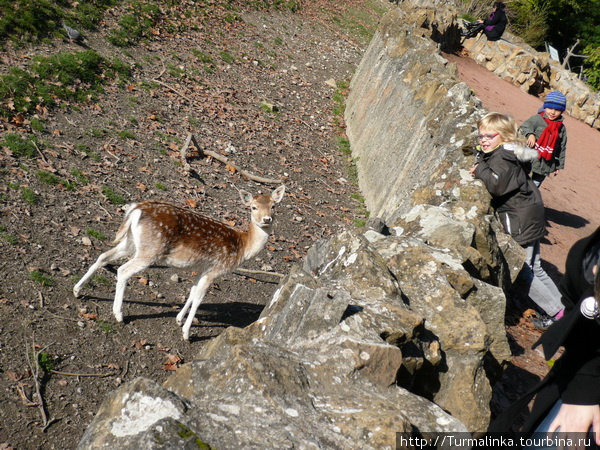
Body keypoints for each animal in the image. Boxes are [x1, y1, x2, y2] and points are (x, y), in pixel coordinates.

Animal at [73, 185, 286, 340]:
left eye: (274, 206)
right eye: (253, 207)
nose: (267, 219)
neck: (242, 247)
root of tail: (135, 210)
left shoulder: (202, 268)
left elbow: (192, 290)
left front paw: (178, 319)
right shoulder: (216, 268)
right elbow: (199, 297)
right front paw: (186, 333)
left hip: (131, 243)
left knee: (103, 256)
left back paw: (77, 290)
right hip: (150, 250)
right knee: (123, 270)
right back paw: (118, 315)